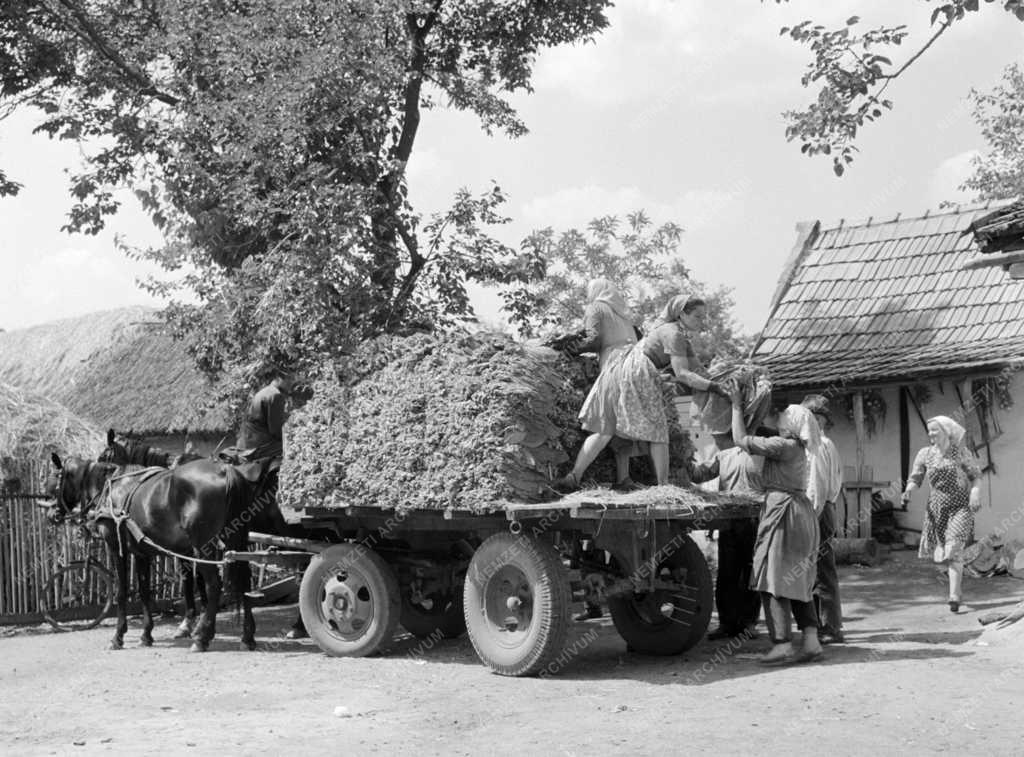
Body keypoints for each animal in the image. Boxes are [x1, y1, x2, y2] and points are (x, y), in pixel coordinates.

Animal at [43, 452, 282, 655]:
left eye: (51, 482)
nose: (51, 514)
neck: (112, 487)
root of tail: (225, 470)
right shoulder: (142, 553)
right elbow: (144, 591)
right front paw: (146, 634)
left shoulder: (117, 547)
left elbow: (122, 592)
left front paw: (118, 636)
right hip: (235, 542)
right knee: (245, 582)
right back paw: (247, 637)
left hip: (203, 547)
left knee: (214, 586)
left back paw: (202, 638)